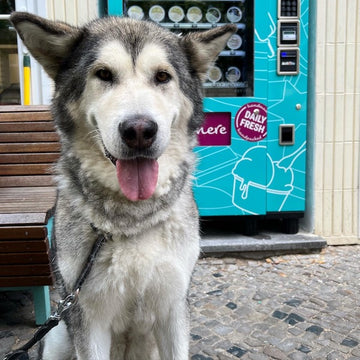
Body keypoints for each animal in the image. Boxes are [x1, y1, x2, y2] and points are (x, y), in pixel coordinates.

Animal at [10, 12, 236, 358]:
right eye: (103, 74)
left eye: (162, 76)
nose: (139, 130)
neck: (132, 218)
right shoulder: (87, 316)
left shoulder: (173, 308)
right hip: (58, 335)